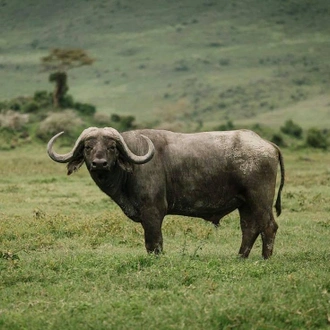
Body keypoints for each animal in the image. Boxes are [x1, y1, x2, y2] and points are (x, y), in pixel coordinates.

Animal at [47, 127, 284, 260]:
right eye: (88, 146)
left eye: (112, 147)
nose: (99, 163)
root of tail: (267, 144)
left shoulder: (152, 212)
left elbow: (153, 243)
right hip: (245, 204)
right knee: (249, 228)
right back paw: (241, 257)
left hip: (260, 200)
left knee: (268, 227)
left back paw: (265, 258)